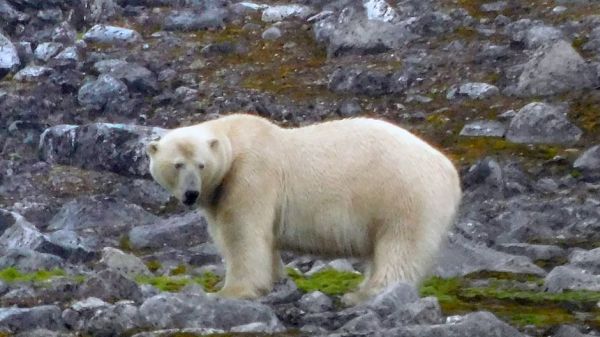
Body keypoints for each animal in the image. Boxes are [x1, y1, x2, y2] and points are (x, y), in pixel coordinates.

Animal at [146, 113, 464, 304]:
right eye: (177, 165)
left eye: (201, 164)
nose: (191, 193)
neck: (235, 139)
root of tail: (449, 171)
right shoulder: (219, 193)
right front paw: (276, 279)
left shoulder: (250, 176)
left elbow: (242, 234)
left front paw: (230, 292)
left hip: (403, 194)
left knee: (400, 245)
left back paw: (364, 294)